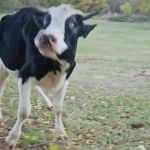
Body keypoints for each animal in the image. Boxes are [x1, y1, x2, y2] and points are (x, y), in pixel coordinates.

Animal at [0, 4, 96, 148]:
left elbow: (59, 108)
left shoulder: (65, 79)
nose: (45, 37)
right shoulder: (26, 74)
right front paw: (12, 139)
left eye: (73, 24)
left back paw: (48, 103)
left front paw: (60, 132)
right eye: (46, 21)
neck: (55, 65)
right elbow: (24, 111)